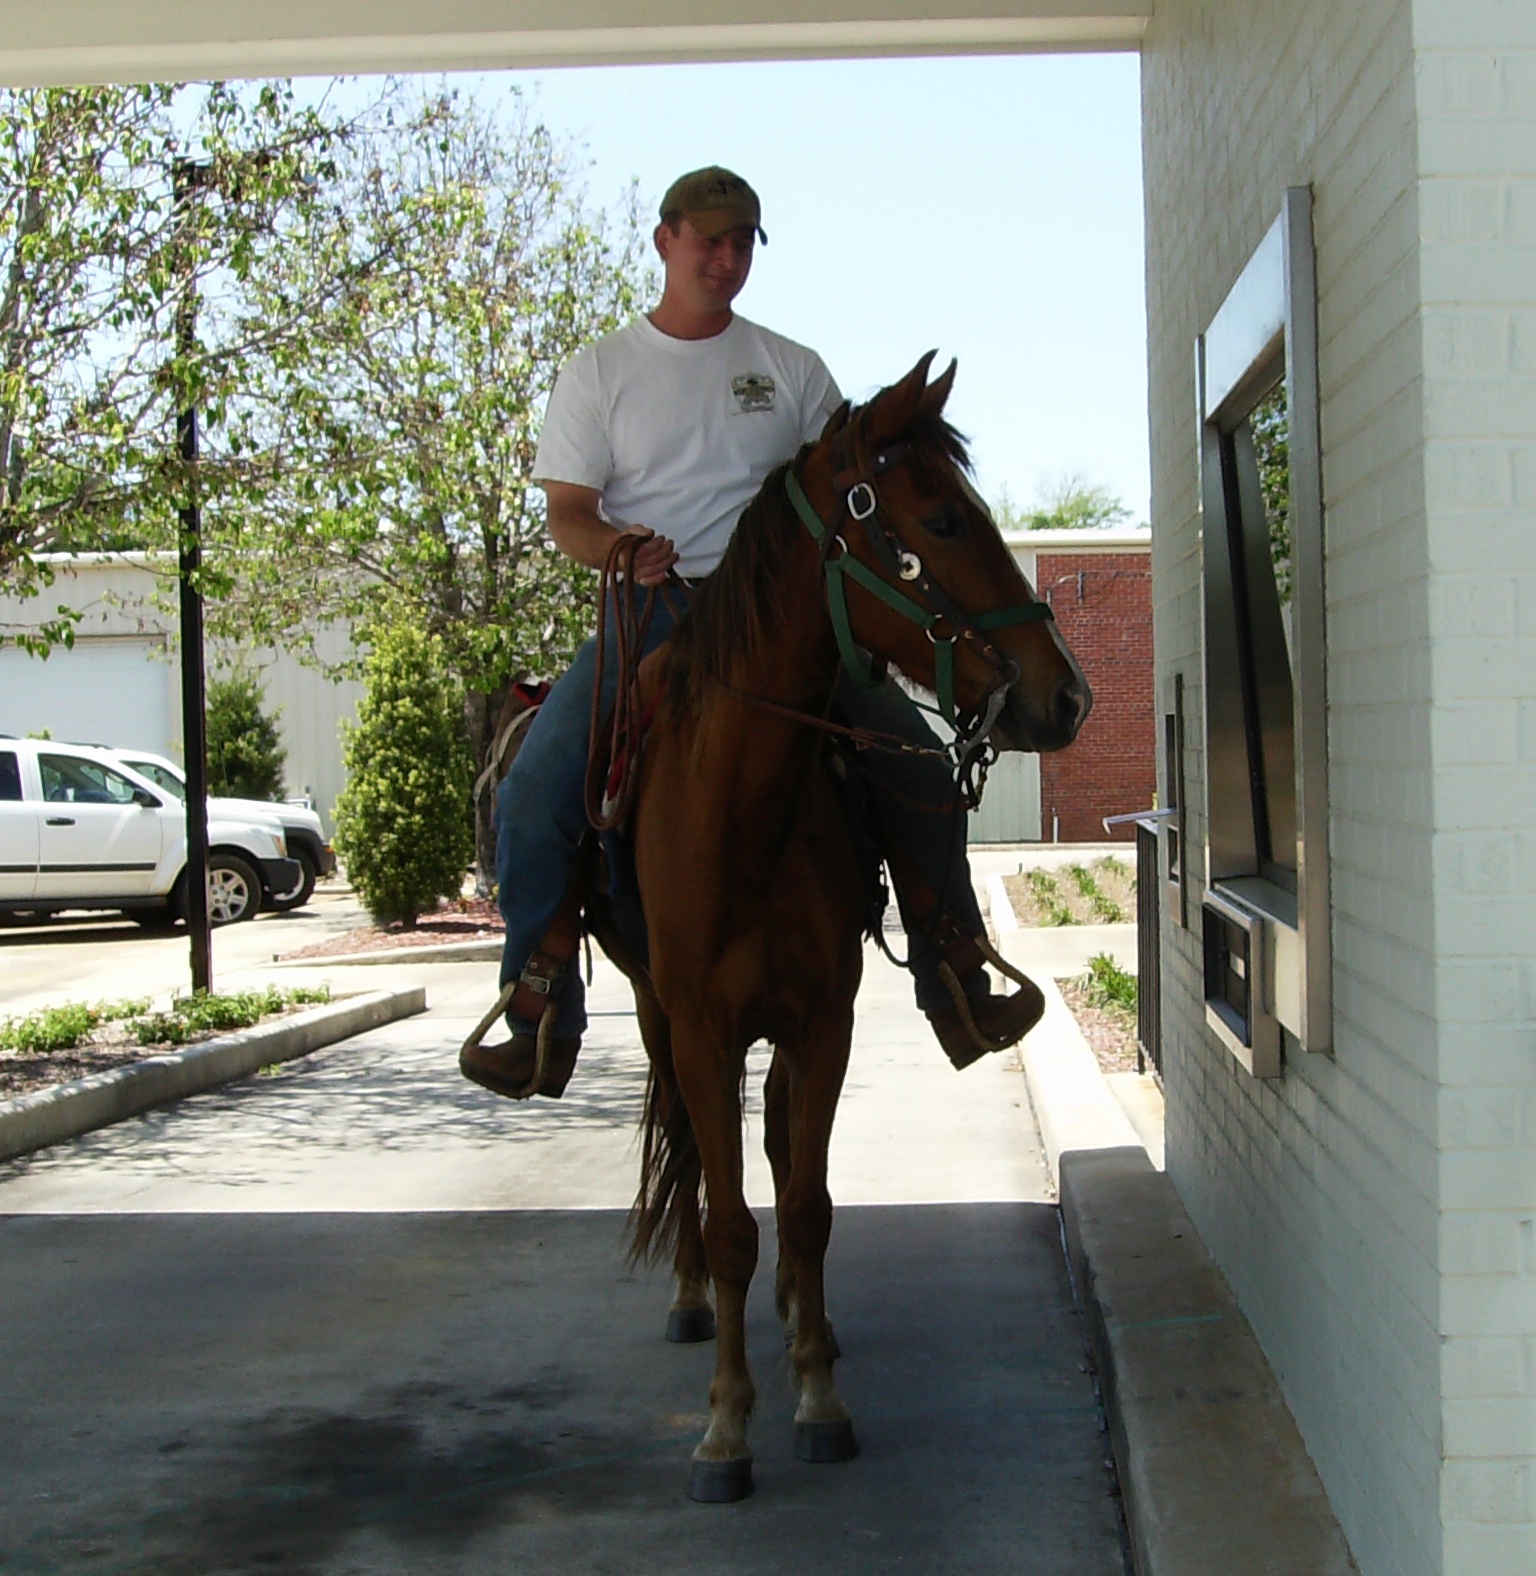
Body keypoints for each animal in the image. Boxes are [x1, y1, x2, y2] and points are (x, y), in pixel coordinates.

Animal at [579, 351, 1091, 1503]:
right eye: (942, 519)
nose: (1067, 695)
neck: (743, 810)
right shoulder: (702, 1029)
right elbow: (729, 1218)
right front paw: (725, 1428)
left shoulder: (824, 1021)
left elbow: (807, 1203)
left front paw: (815, 1393)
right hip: (653, 1014)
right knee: (691, 1151)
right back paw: (692, 1303)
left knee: (777, 1152)